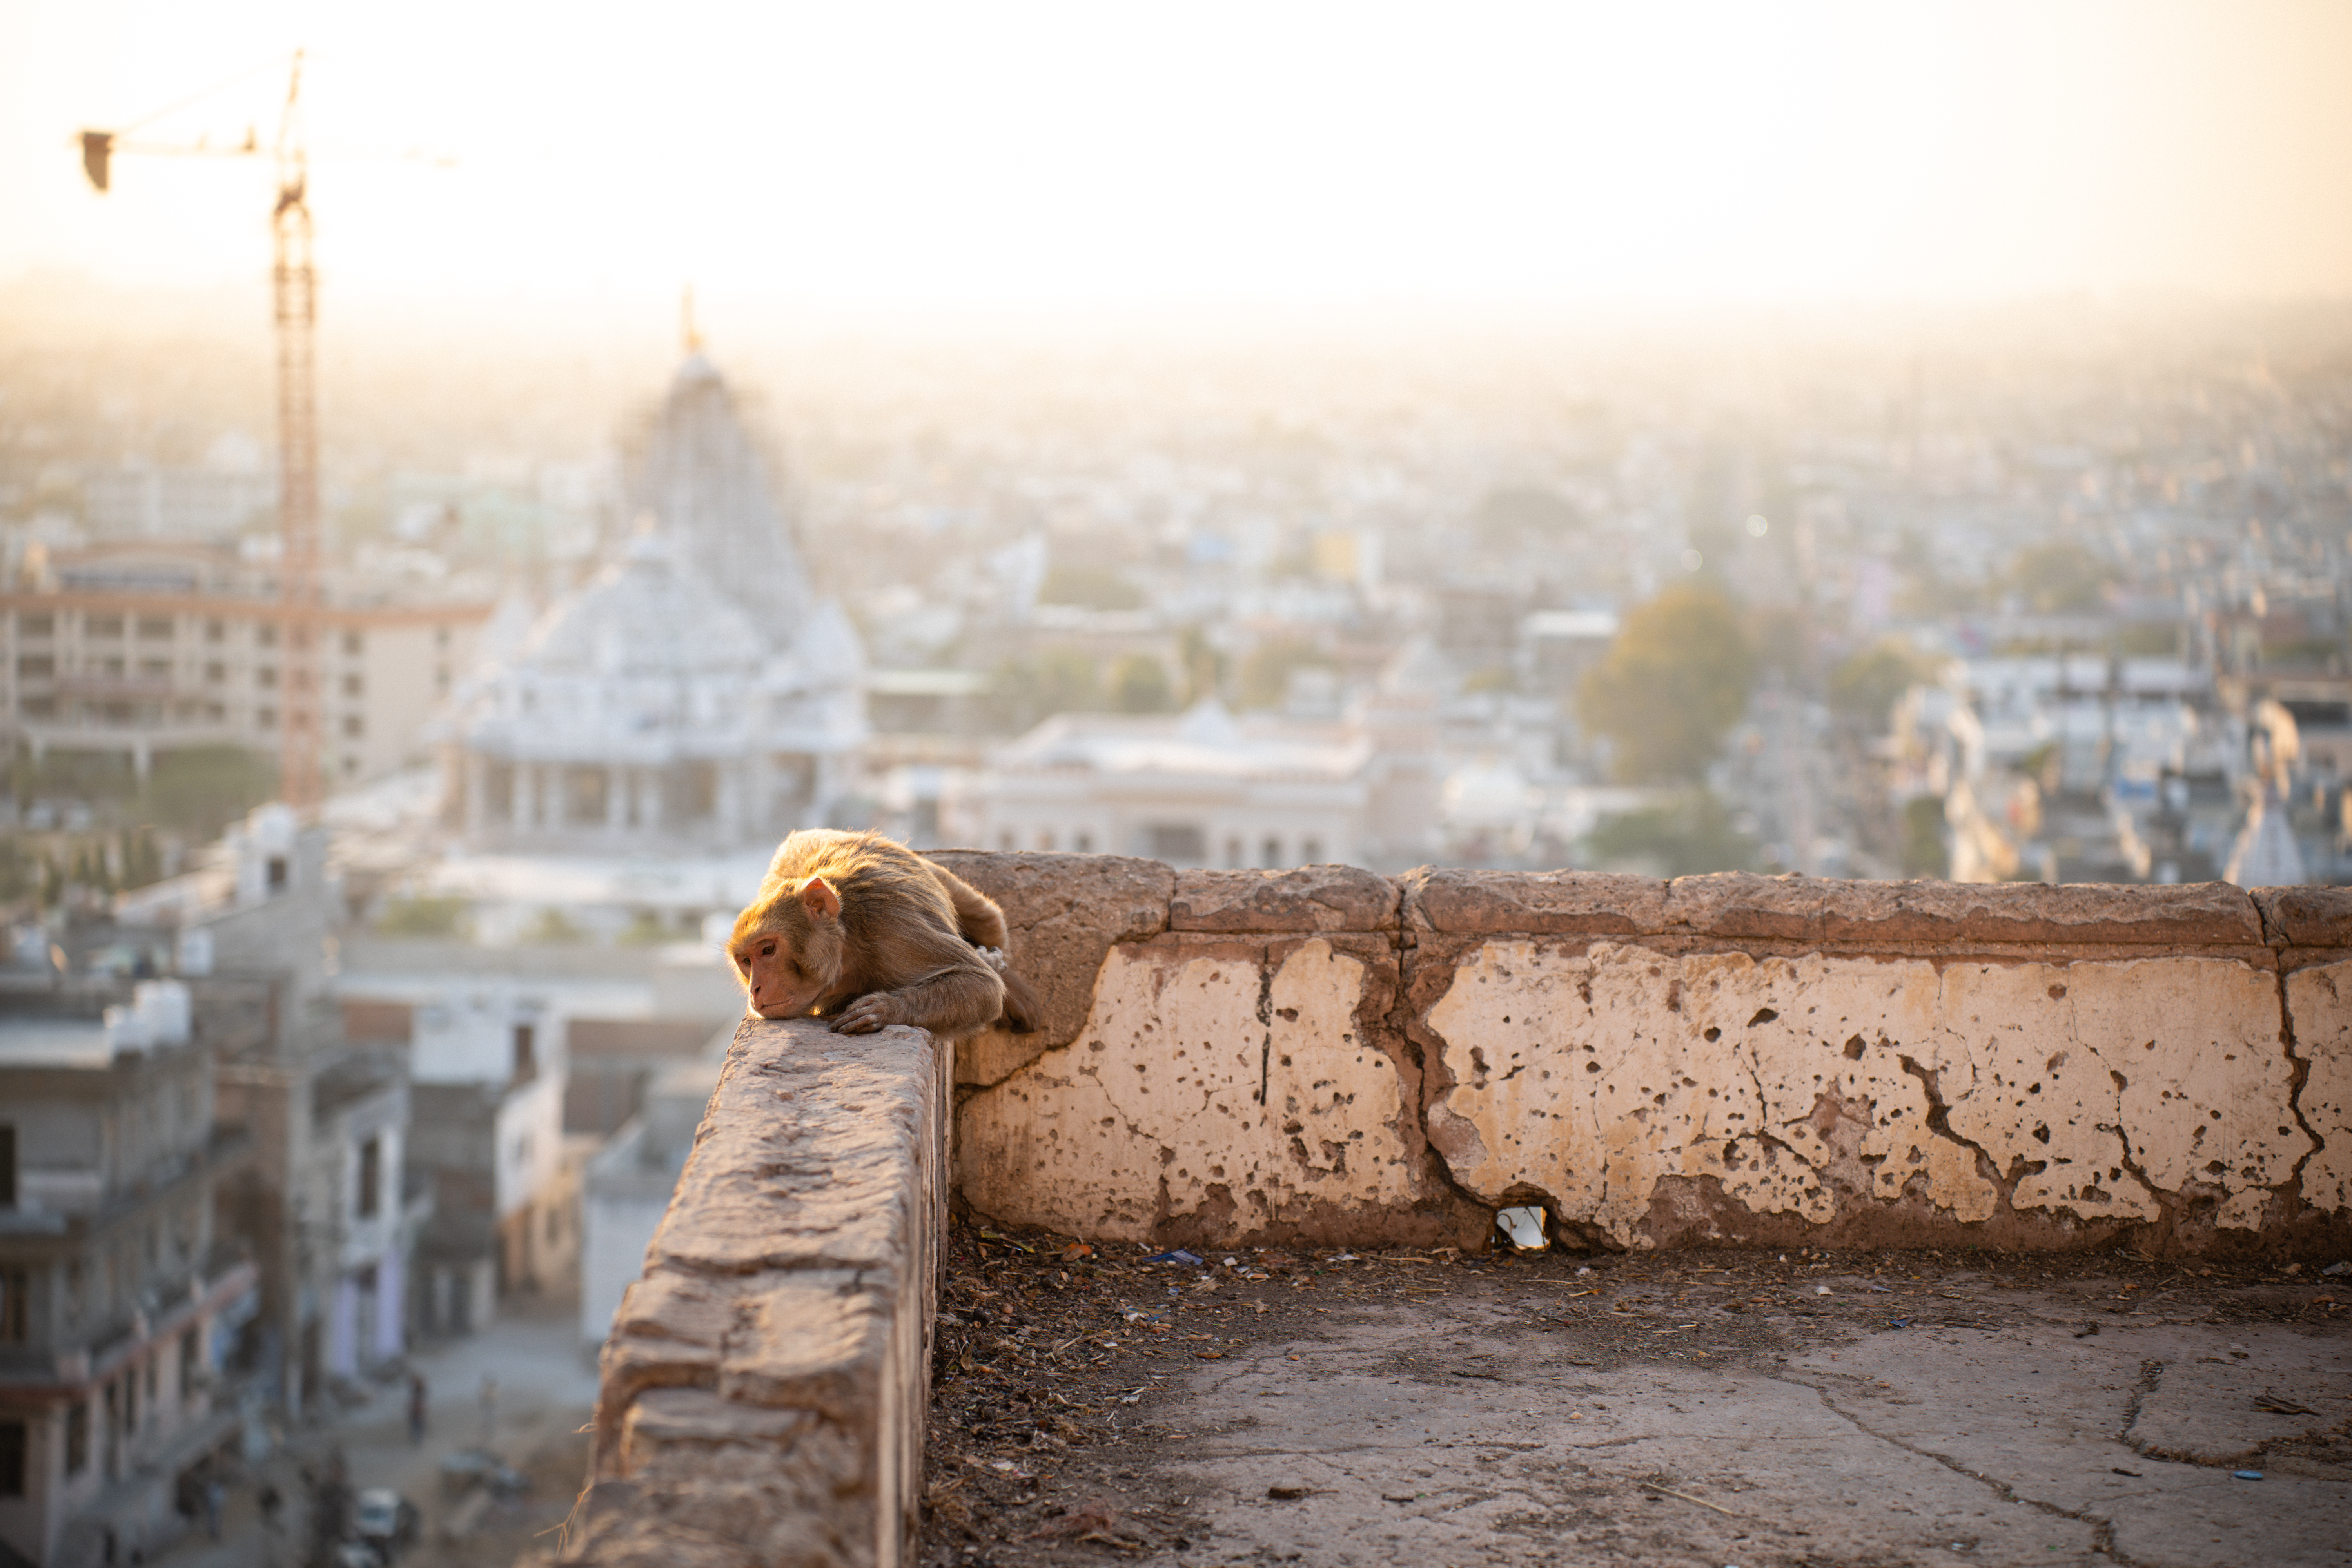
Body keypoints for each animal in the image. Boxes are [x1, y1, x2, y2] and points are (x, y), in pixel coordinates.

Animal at [727, 828, 1043, 1038]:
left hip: (935, 872)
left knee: (988, 920)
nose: (755, 989)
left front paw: (884, 1009)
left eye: (768, 950)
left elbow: (981, 984)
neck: (848, 943)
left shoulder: (893, 927)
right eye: (747, 962)